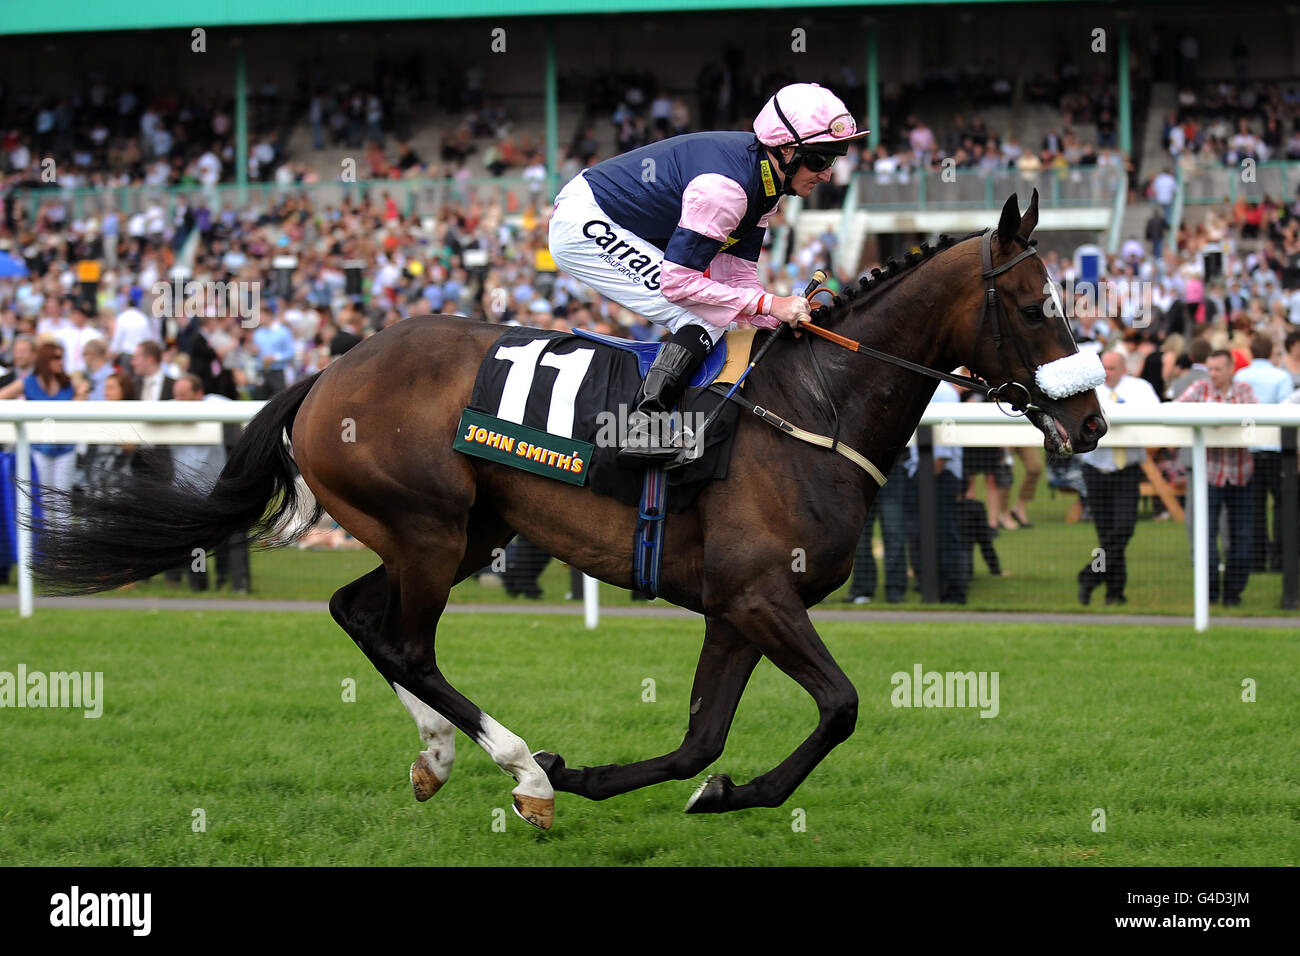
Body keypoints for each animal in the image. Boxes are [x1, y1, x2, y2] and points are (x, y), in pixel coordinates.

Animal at [32, 188, 1107, 832]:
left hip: (466, 531)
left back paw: (442, 757)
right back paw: (521, 771)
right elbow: (839, 707)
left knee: (359, 617)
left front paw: (698, 789)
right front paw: (613, 778)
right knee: (405, 640)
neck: (813, 409)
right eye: (1039, 306)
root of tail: (328, 372)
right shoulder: (761, 594)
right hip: (430, 529)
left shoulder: (736, 606)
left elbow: (701, 742)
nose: (1093, 420)